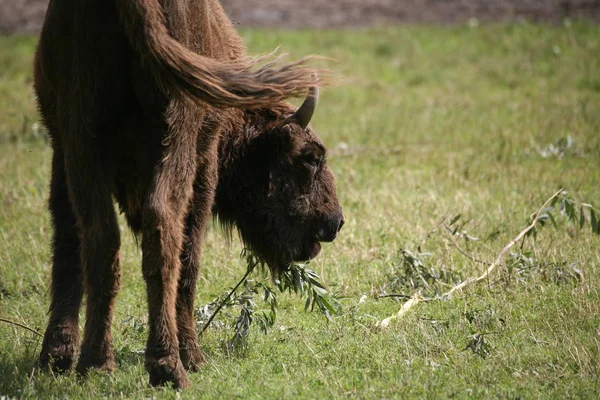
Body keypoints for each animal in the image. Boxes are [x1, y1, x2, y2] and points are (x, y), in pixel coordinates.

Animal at [35, 0, 342, 390]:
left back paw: (95, 362)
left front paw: (54, 358)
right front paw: (193, 356)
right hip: (175, 132)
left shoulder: (61, 148)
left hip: (83, 131)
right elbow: (190, 254)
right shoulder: (205, 157)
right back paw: (170, 366)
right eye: (310, 157)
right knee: (164, 227)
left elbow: (67, 246)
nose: (333, 222)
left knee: (98, 237)